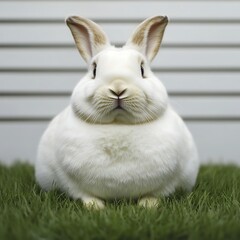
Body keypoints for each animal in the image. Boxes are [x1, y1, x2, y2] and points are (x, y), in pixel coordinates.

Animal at [35, 16, 199, 208]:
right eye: (94, 70)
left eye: (142, 70)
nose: (118, 88)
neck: (118, 123)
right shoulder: (69, 181)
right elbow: (83, 194)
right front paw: (94, 206)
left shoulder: (169, 181)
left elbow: (157, 193)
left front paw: (147, 205)